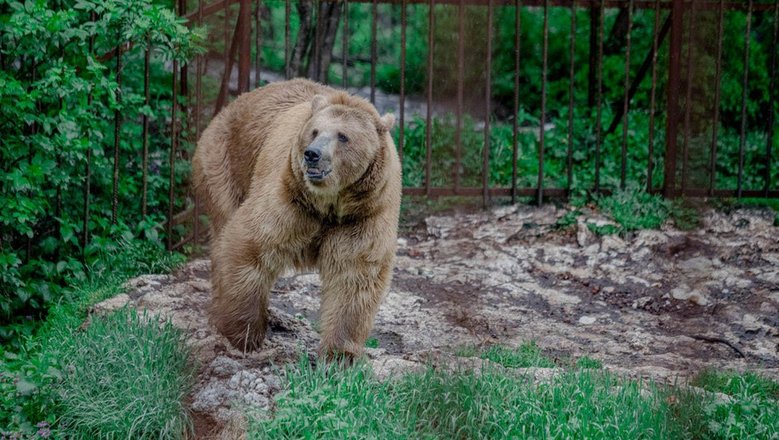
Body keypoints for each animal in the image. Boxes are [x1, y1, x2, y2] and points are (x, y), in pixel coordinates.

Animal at [192, 78, 401, 358]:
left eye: (343, 136)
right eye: (314, 131)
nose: (312, 154)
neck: (330, 203)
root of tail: (227, 108)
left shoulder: (363, 214)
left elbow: (355, 274)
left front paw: (339, 355)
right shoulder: (290, 197)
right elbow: (249, 244)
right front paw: (245, 335)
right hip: (224, 166)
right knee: (222, 235)